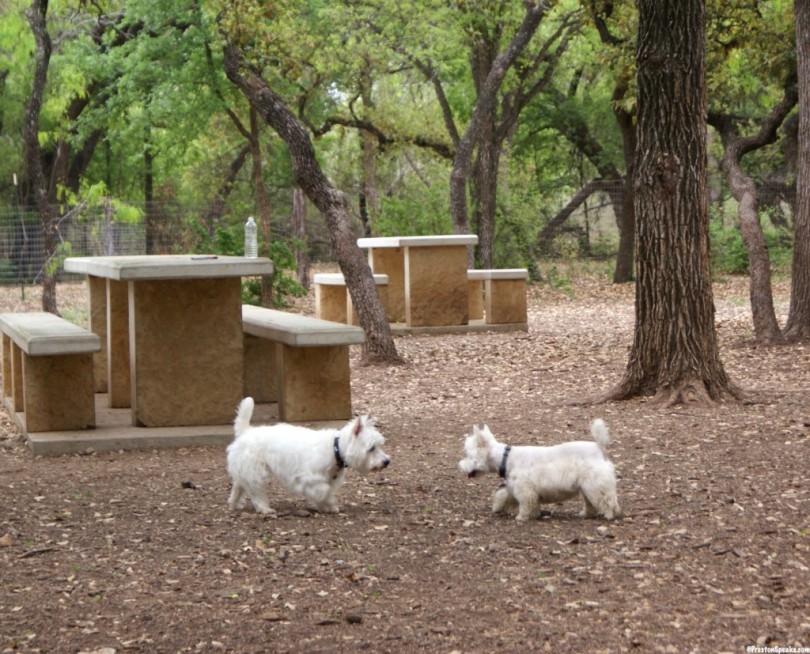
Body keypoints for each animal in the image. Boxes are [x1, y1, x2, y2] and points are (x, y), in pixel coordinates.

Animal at [226, 400, 390, 516]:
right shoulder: (310, 478)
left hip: (247, 469)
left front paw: (327, 506)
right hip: (257, 472)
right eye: (371, 448)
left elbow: (327, 491)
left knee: (239, 485)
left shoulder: (330, 479)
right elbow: (323, 491)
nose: (386, 461)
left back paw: (234, 503)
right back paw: (264, 508)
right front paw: (328, 503)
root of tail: (245, 432)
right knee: (255, 492)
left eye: (379, 445)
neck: (335, 449)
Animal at [458, 422, 620, 524]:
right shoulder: (516, 488)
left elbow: (524, 503)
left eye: (468, 455)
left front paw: (522, 517)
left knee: (607, 500)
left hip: (595, 485)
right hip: (587, 487)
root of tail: (599, 447)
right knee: (591, 503)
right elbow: (506, 497)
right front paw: (499, 508)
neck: (505, 458)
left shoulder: (524, 489)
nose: (460, 465)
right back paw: (586, 514)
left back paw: (610, 515)